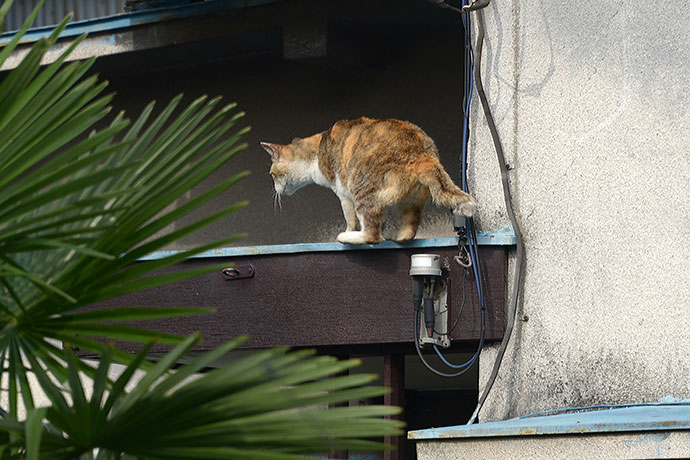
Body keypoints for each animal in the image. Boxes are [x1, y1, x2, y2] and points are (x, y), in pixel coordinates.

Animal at [260, 117, 476, 244]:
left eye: (272, 174)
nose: (275, 189)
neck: (316, 150)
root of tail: (423, 155)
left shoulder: (343, 192)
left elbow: (350, 218)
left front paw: (347, 230)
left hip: (361, 188)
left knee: (372, 235)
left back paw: (347, 237)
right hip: (410, 203)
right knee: (409, 229)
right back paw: (397, 237)